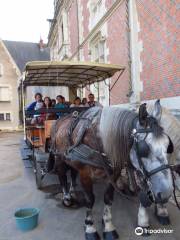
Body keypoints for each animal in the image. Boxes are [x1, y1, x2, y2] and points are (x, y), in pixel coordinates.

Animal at [48, 101, 174, 240]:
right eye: (144, 149)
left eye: (168, 146)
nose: (166, 193)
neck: (99, 139)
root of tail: (61, 119)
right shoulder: (85, 174)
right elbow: (90, 200)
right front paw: (90, 228)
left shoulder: (114, 173)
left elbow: (108, 198)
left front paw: (108, 226)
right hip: (59, 157)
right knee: (62, 174)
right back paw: (66, 197)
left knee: (73, 172)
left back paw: (72, 192)